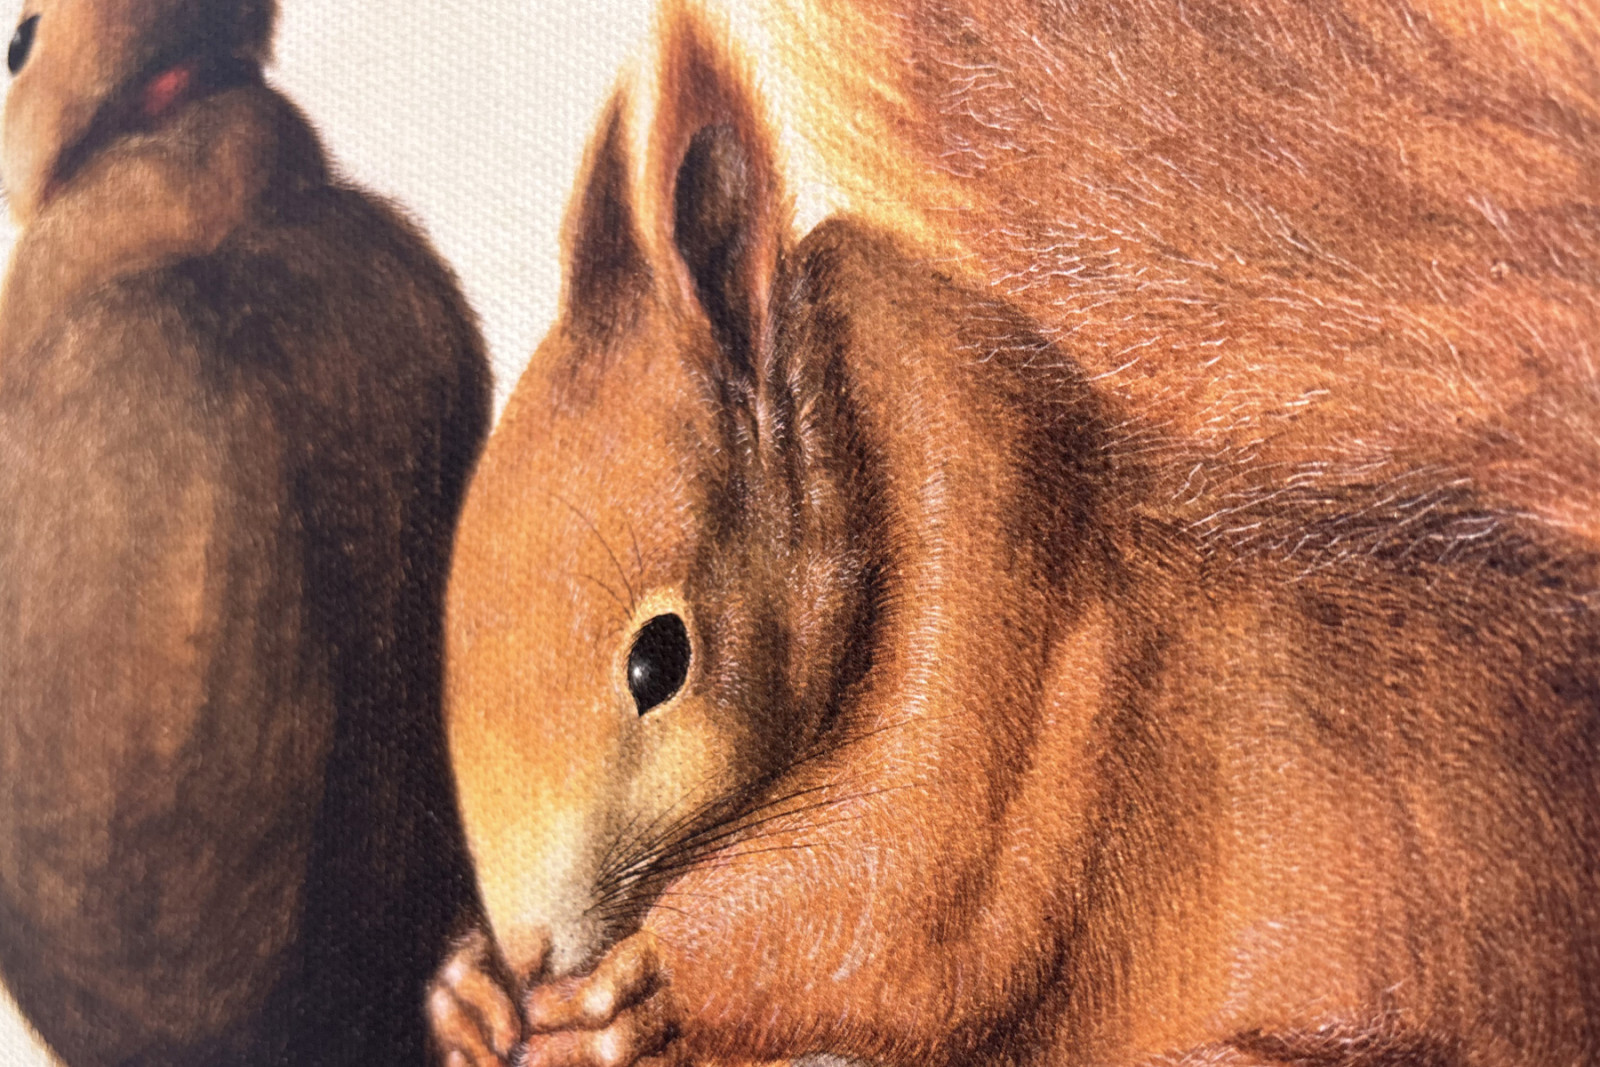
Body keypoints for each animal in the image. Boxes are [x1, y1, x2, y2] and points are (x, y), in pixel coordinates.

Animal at [431, 2, 1600, 1065]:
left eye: (660, 660)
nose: (531, 952)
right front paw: (466, 994)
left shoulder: (1006, 660)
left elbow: (907, 901)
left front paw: (639, 984)